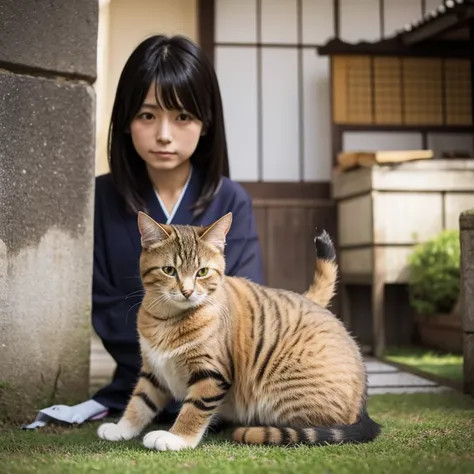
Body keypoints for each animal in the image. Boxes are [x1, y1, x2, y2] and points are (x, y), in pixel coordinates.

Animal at [97, 212, 382, 452]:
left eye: (202, 272)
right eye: (169, 270)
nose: (187, 291)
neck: (167, 318)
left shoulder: (211, 373)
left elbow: (194, 408)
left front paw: (177, 438)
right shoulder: (154, 370)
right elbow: (140, 400)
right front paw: (122, 428)